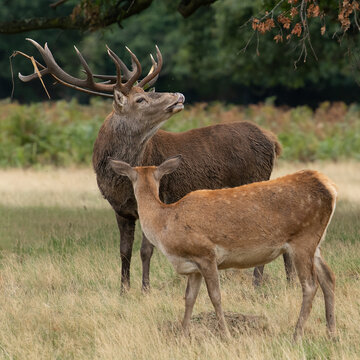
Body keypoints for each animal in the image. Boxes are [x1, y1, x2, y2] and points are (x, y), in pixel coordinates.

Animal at [110, 155, 338, 340]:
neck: (165, 224)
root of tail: (330, 187)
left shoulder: (205, 254)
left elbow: (215, 296)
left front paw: (226, 335)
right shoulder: (193, 266)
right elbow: (189, 298)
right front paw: (183, 335)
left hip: (303, 238)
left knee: (310, 285)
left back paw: (297, 335)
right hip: (315, 243)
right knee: (328, 277)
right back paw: (331, 333)